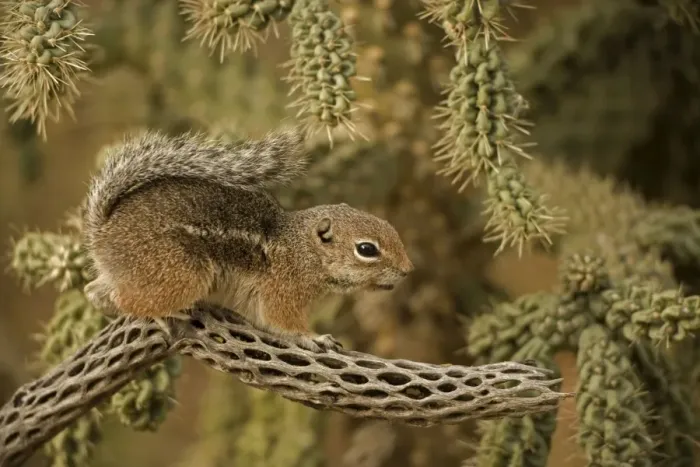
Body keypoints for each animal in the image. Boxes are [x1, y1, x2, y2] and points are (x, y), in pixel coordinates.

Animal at [81, 127, 414, 352]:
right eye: (366, 249)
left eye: (390, 227)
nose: (407, 270)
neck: (302, 249)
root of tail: (102, 232)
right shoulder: (282, 292)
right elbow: (283, 322)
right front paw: (314, 337)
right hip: (182, 274)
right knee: (126, 299)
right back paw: (164, 313)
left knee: (93, 292)